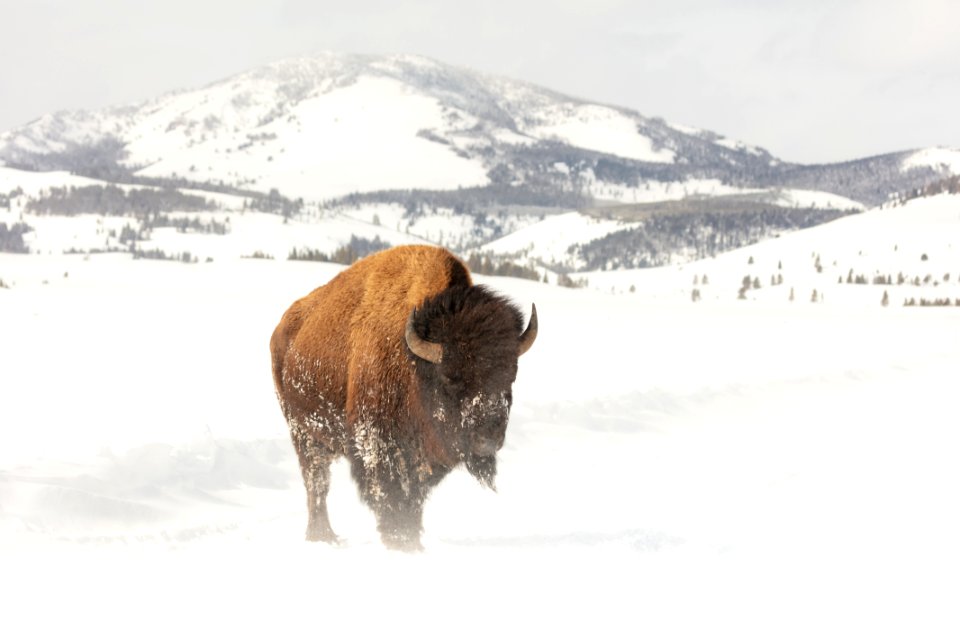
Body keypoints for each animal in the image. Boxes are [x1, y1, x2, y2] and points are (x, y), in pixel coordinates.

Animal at [270, 245, 536, 552]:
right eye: (449, 377)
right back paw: (323, 536)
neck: (415, 365)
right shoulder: (378, 445)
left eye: (511, 374)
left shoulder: (426, 457)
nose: (487, 441)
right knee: (316, 482)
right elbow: (391, 494)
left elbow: (414, 498)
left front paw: (412, 540)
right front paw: (400, 541)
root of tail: (283, 328)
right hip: (303, 432)